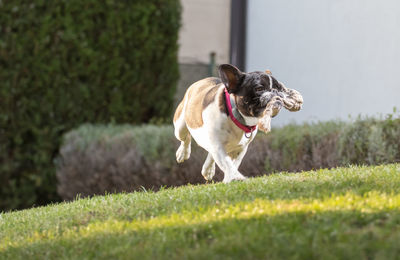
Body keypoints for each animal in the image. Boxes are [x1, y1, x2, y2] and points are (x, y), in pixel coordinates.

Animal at [173, 63, 304, 183]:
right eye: (259, 89)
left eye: (280, 88)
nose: (275, 92)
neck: (237, 117)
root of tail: (201, 82)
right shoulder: (218, 145)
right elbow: (226, 162)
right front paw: (236, 177)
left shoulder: (240, 149)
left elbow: (233, 163)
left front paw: (229, 177)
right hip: (180, 126)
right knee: (185, 138)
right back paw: (182, 153)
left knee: (210, 152)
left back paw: (208, 170)